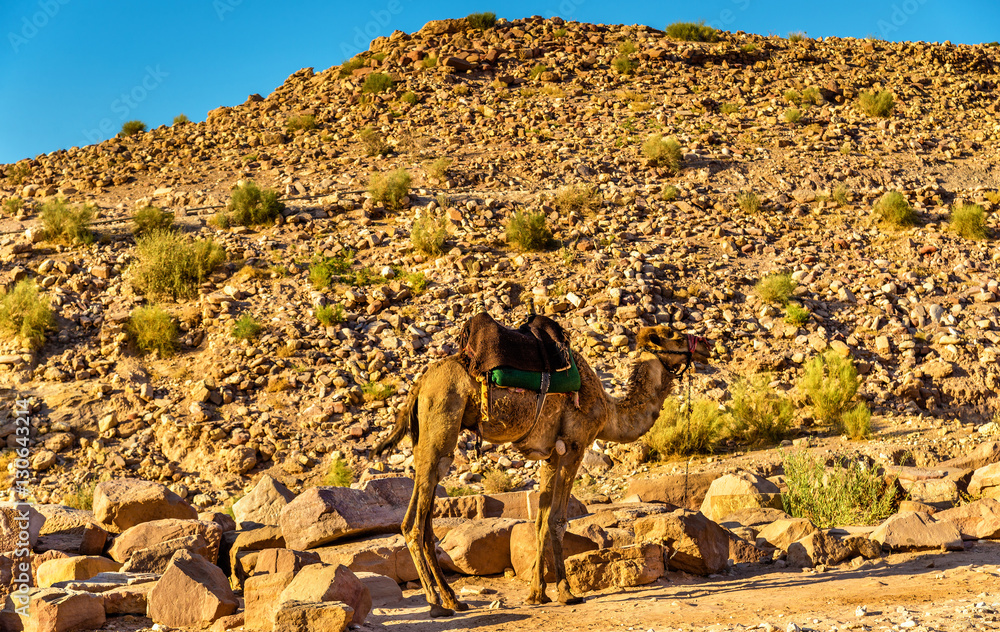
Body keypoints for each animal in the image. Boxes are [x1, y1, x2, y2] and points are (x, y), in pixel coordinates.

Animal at [374, 324, 712, 620]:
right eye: (675, 335)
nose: (707, 346)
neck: (610, 412)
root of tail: (419, 384)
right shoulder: (575, 445)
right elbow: (558, 521)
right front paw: (567, 592)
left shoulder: (550, 456)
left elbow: (540, 519)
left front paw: (537, 594)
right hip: (440, 428)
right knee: (413, 523)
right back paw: (435, 603)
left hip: (427, 439)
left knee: (426, 522)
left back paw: (453, 600)